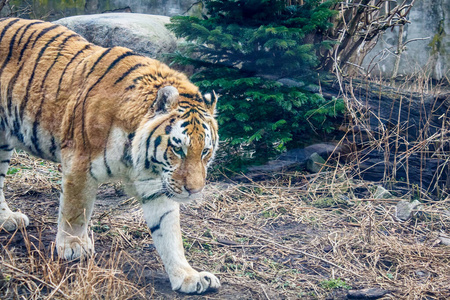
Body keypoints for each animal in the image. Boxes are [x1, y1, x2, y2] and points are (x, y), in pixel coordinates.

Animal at [0, 17, 220, 294]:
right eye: (178, 149)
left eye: (205, 152)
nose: (195, 191)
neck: (140, 160)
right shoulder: (79, 162)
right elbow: (75, 210)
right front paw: (73, 247)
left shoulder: (157, 185)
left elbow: (169, 233)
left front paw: (188, 276)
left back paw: (7, 219)